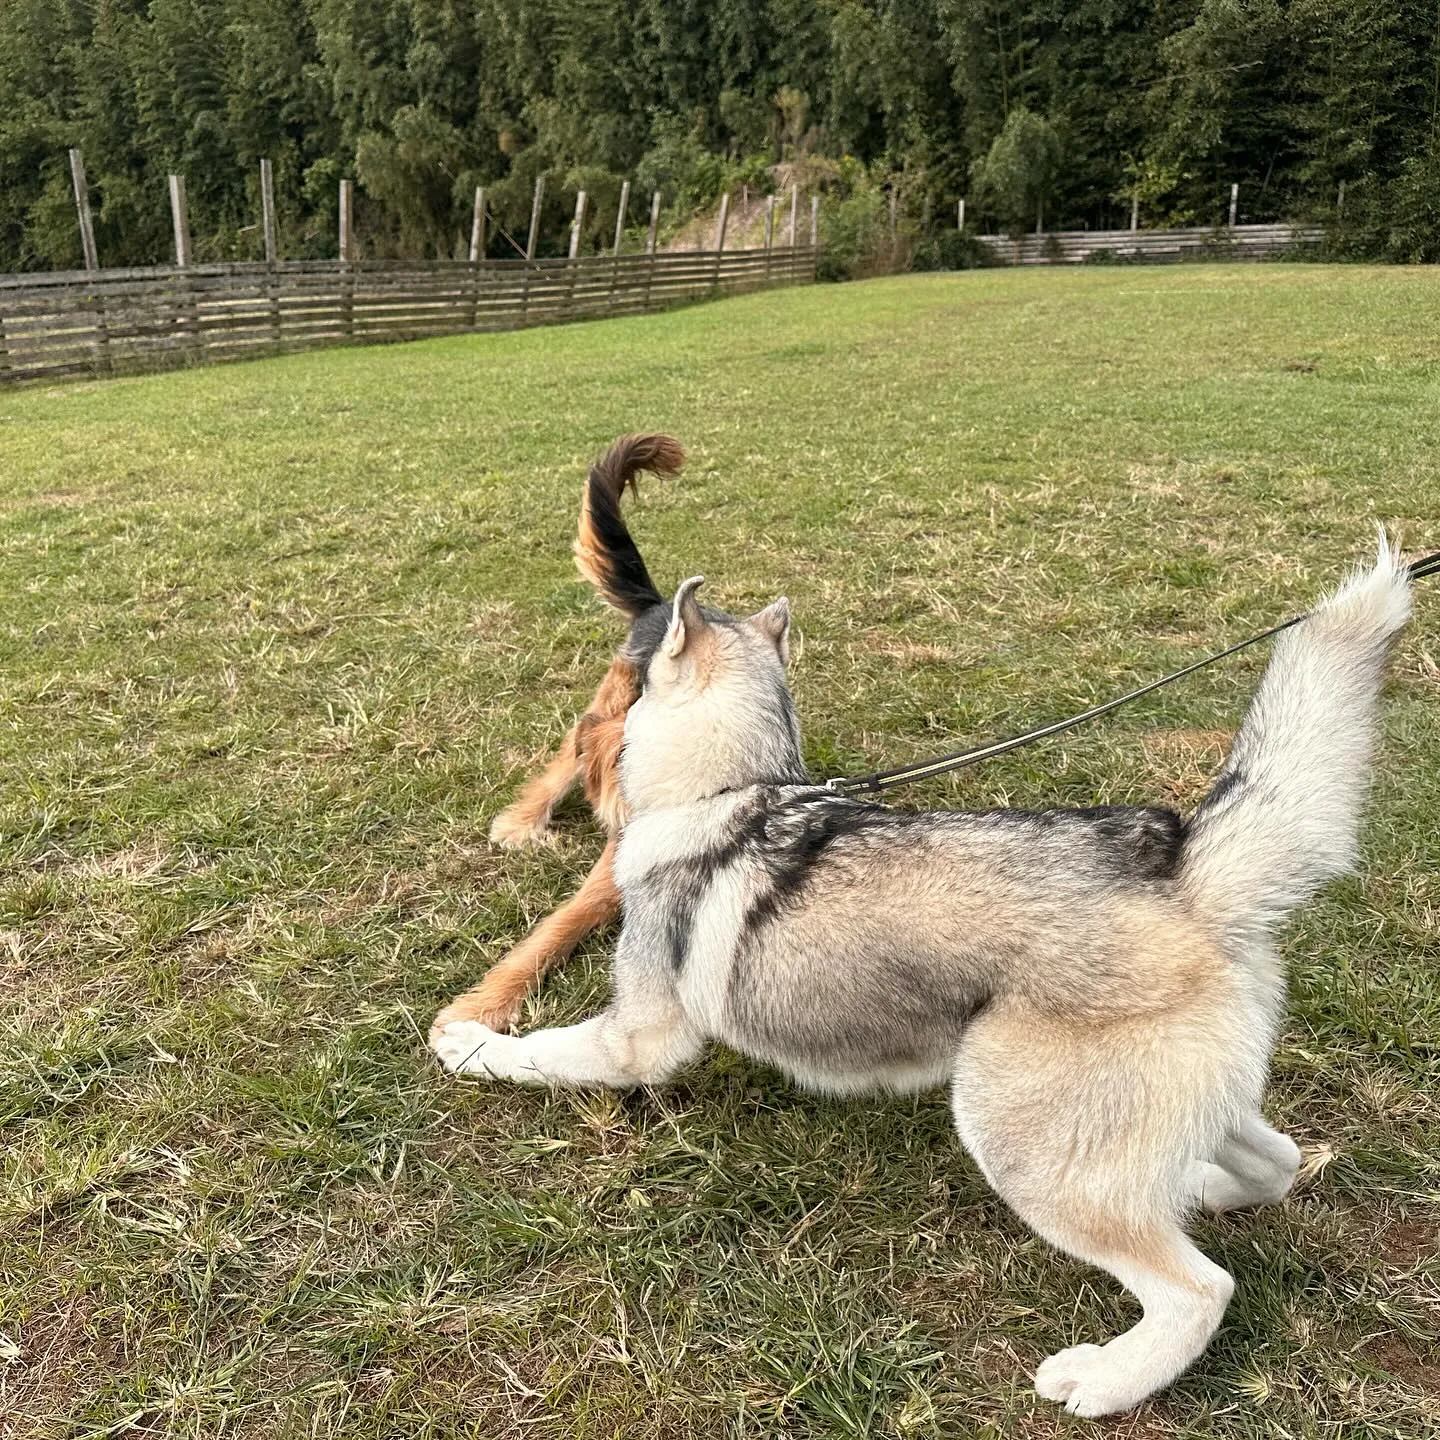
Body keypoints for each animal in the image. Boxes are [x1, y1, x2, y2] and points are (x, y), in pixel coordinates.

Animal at [429, 434, 688, 1036]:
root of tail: (660, 604)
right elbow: (555, 930)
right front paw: (480, 1009)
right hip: (603, 703)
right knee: (563, 760)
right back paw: (521, 823)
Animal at [432, 535, 1411, 1411]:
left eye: (632, 679)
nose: (585, 736)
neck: (732, 790)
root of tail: (1187, 870)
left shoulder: (636, 1040)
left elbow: (539, 1053)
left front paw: (466, 1043)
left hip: (1016, 1136)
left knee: (1199, 1289)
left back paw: (1105, 1380)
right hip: (1158, 1105)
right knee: (1274, 1162)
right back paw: (1197, 1189)